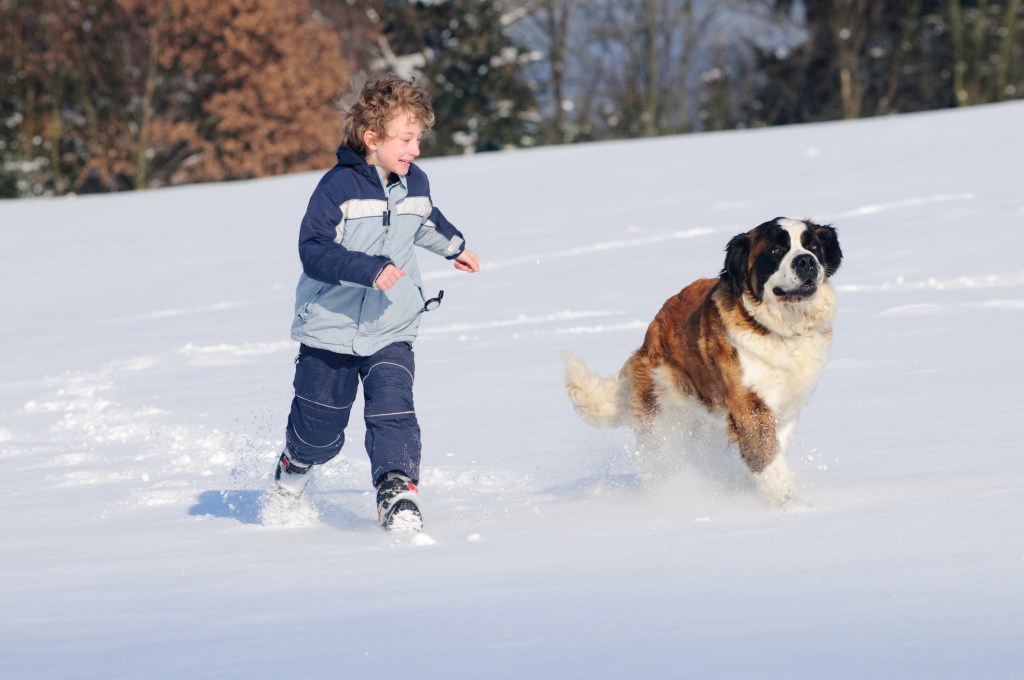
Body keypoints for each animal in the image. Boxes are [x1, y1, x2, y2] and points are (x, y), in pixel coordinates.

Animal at [565, 215, 843, 507]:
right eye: (777, 250)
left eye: (812, 246)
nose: (806, 261)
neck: (780, 329)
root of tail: (648, 338)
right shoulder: (750, 407)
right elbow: (769, 459)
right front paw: (789, 505)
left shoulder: (787, 407)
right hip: (664, 422)